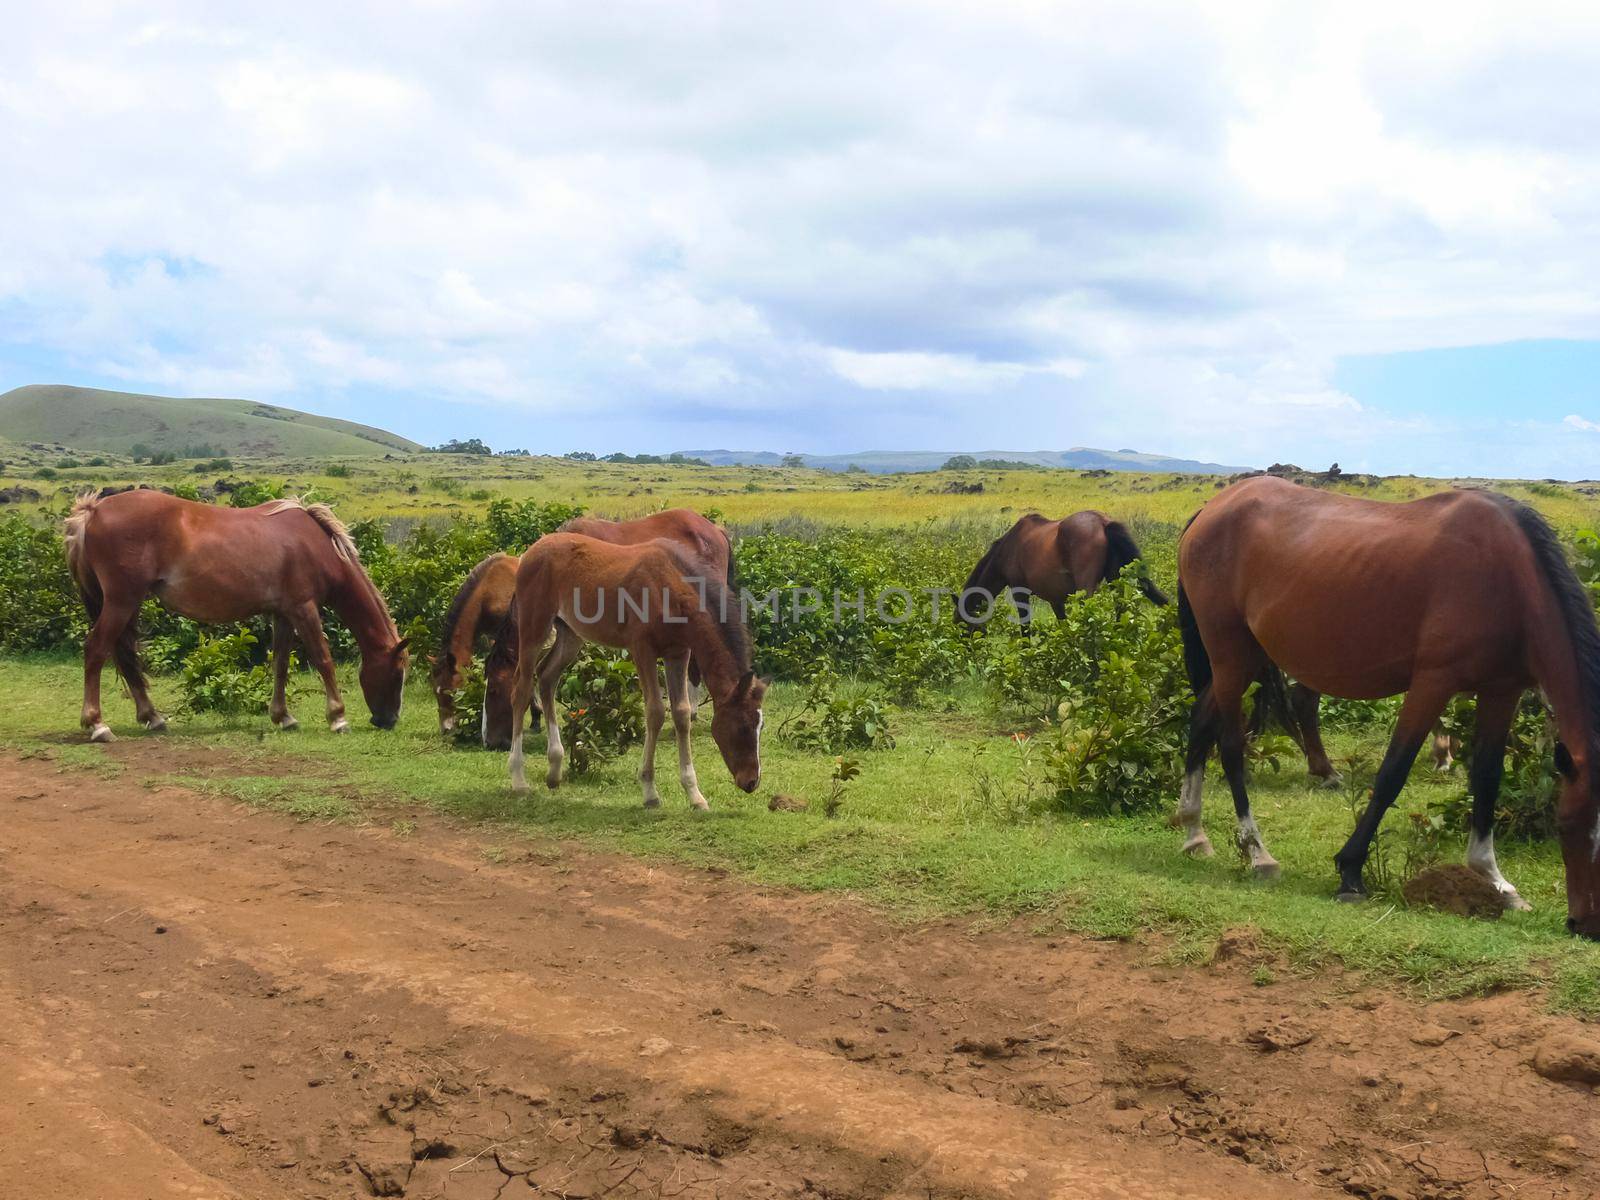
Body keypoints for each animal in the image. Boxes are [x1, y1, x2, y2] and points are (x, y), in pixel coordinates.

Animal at [65, 489, 409, 742]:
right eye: (397, 674)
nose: (389, 720)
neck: (316, 545)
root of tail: (93, 511)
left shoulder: (283, 614)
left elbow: (280, 664)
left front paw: (283, 716)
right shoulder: (304, 609)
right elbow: (324, 660)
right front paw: (338, 718)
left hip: (126, 605)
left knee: (125, 657)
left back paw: (153, 717)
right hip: (121, 602)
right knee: (96, 650)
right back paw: (98, 725)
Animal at [508, 534, 764, 809]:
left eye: (761, 727)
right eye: (742, 727)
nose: (751, 782)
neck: (670, 588)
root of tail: (530, 552)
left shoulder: (678, 653)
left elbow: (682, 714)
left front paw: (695, 795)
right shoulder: (642, 649)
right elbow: (655, 712)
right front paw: (650, 792)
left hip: (571, 633)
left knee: (547, 677)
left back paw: (554, 770)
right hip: (534, 628)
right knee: (521, 688)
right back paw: (518, 779)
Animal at [953, 508, 1171, 630]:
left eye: (962, 624)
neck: (1007, 548)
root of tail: (1103, 522)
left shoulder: (1019, 591)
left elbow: (1025, 627)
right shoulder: (1055, 599)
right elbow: (1064, 625)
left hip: (1086, 589)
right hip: (1114, 580)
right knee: (1120, 608)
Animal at [1177, 473, 1600, 940]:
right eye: (1569, 826)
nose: (1587, 924)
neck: (1508, 576)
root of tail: (1212, 509)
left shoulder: (1500, 691)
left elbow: (1487, 779)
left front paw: (1496, 881)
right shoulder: (1432, 683)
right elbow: (1392, 775)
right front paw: (1350, 872)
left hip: (1245, 655)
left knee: (1201, 722)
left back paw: (1194, 832)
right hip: (1230, 653)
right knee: (1231, 746)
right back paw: (1258, 853)